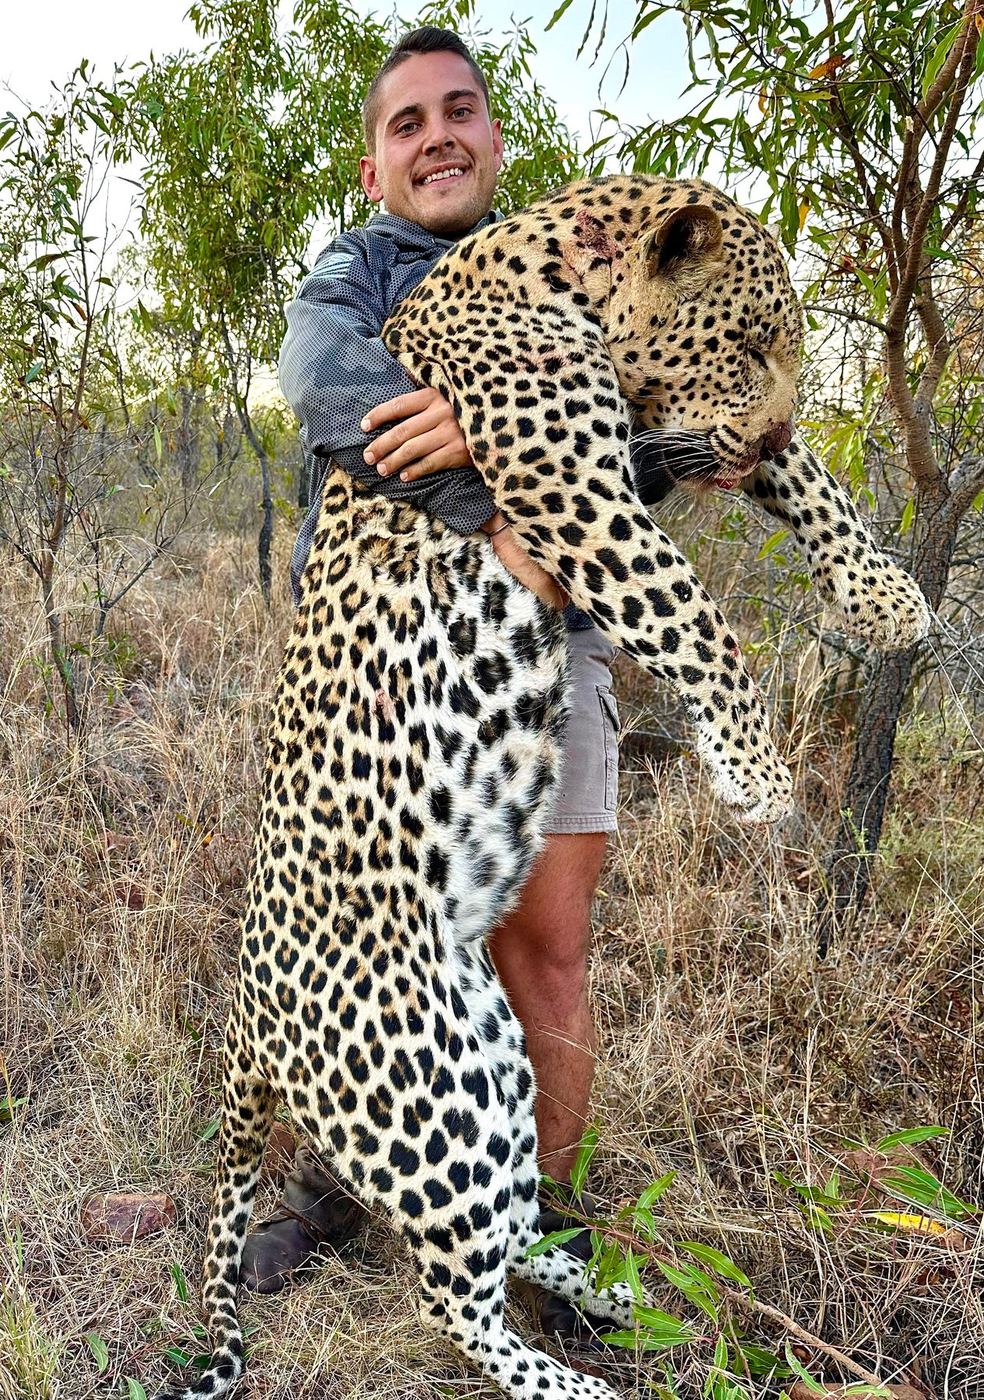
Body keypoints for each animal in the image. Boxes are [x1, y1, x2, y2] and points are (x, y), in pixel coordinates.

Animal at [159, 175, 929, 1400]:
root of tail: (245, 1025)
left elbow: (811, 482)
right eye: (753, 340)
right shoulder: (572, 485)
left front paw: (887, 597)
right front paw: (753, 770)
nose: (770, 418)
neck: (566, 278)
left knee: (512, 1233)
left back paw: (619, 1288)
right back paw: (597, 1370)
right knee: (450, 1301)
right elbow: (693, 611)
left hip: (489, 1064)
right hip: (432, 1101)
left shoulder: (665, 443)